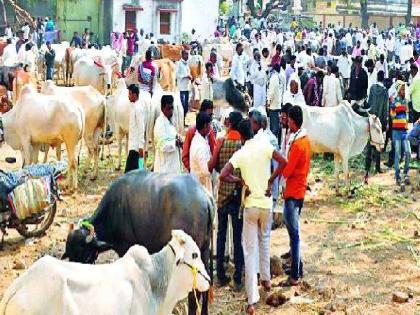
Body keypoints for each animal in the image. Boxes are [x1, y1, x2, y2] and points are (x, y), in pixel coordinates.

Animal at [64, 170, 215, 315]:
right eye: (70, 254)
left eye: (84, 255)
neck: (114, 210)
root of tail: (204, 197)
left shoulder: (125, 248)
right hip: (204, 250)